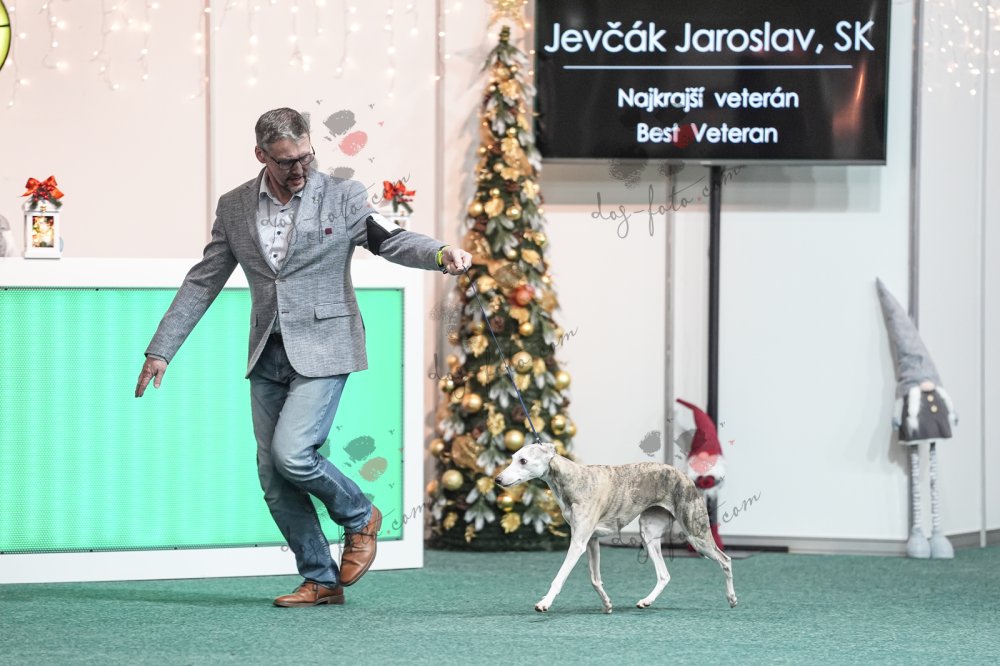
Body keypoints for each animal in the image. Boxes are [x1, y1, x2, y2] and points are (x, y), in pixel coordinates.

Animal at [495, 442, 738, 613]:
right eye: (512, 458)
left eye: (523, 460)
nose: (497, 479)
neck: (573, 480)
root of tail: (686, 477)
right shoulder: (591, 541)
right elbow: (594, 579)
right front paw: (607, 604)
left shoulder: (579, 542)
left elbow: (560, 577)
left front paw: (544, 603)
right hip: (648, 533)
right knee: (664, 574)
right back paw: (646, 601)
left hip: (696, 533)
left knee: (725, 560)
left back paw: (732, 598)